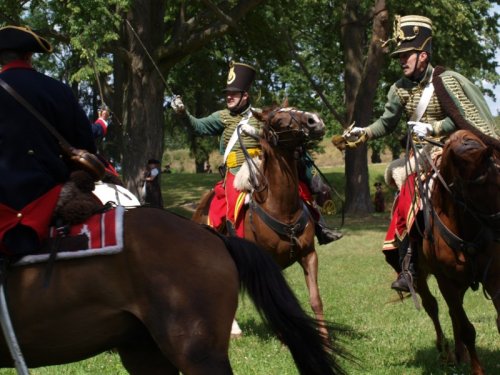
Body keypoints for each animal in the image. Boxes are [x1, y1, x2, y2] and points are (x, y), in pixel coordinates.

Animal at [191, 104, 328, 334]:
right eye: (277, 121)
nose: (314, 120)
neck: (282, 208)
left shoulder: (309, 255)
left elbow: (316, 300)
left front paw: (325, 338)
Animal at [418, 130, 500, 375]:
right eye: (476, 191)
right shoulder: (445, 281)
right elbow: (467, 330)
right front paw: (478, 370)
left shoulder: (493, 277)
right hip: (420, 276)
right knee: (432, 306)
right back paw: (445, 351)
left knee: (453, 313)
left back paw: (458, 354)